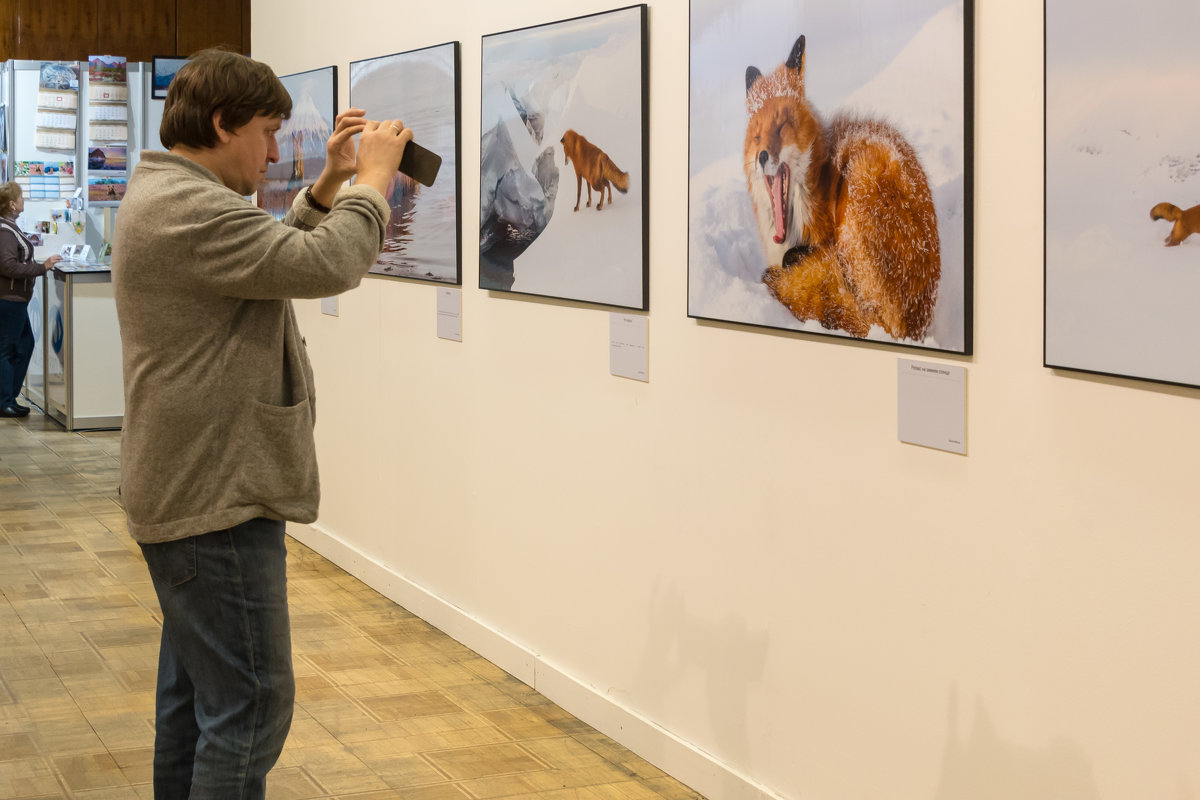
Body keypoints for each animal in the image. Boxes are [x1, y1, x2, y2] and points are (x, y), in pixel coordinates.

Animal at [744, 34, 940, 340]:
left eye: (781, 126)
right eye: (755, 135)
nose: (762, 155)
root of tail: (914, 325)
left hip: (859, 183)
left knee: (864, 319)